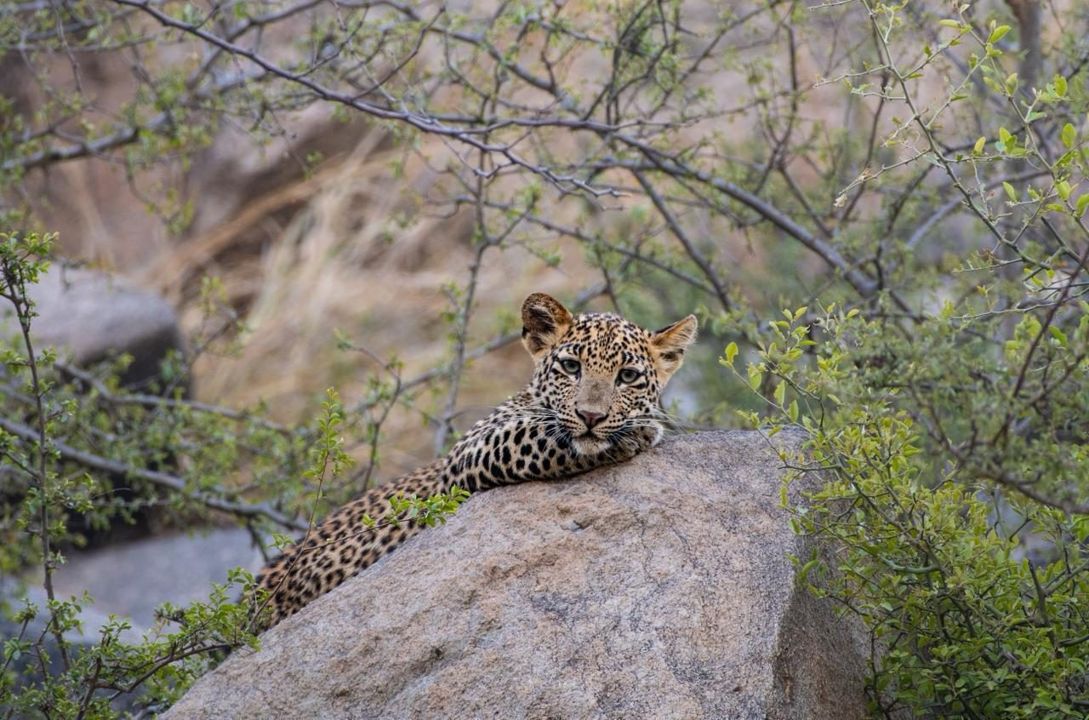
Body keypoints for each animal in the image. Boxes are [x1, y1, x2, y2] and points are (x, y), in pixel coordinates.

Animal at [254, 292, 697, 629]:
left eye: (627, 377)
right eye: (571, 367)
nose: (592, 416)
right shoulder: (468, 452)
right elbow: (539, 434)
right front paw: (636, 432)